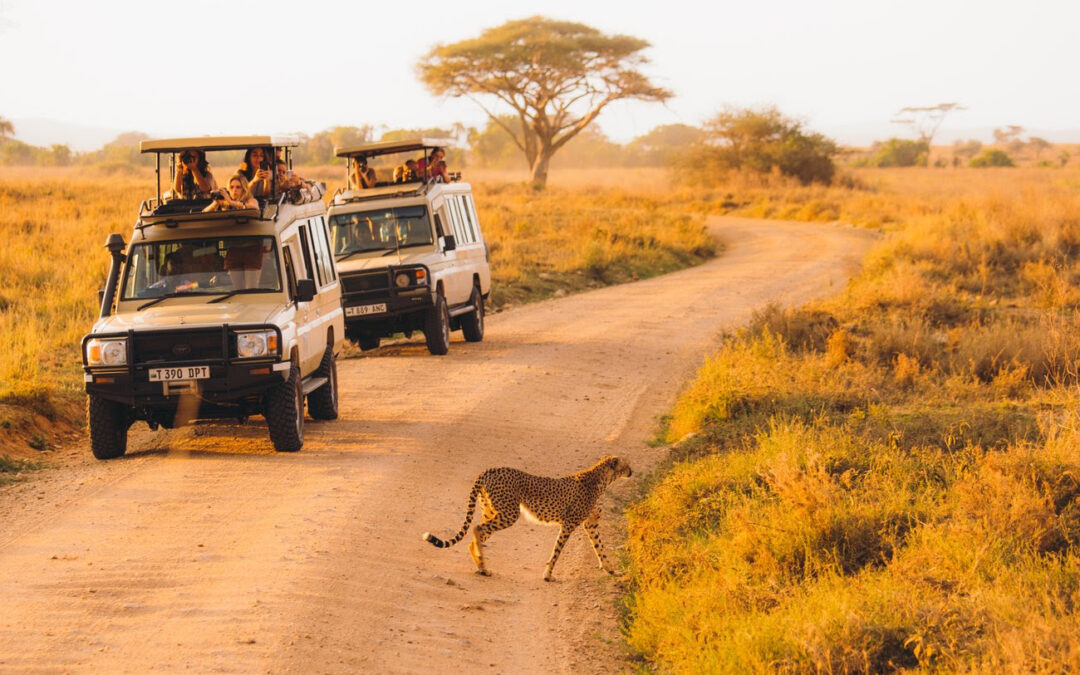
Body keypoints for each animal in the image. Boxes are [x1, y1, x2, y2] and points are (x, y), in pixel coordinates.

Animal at [419, 453, 630, 578]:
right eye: (626, 464)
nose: (632, 471)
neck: (602, 479)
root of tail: (491, 469)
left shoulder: (590, 523)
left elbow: (600, 547)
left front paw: (611, 569)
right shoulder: (569, 524)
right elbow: (557, 550)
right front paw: (548, 574)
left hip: (492, 511)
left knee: (477, 533)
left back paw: (480, 565)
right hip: (510, 513)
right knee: (478, 529)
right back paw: (483, 567)